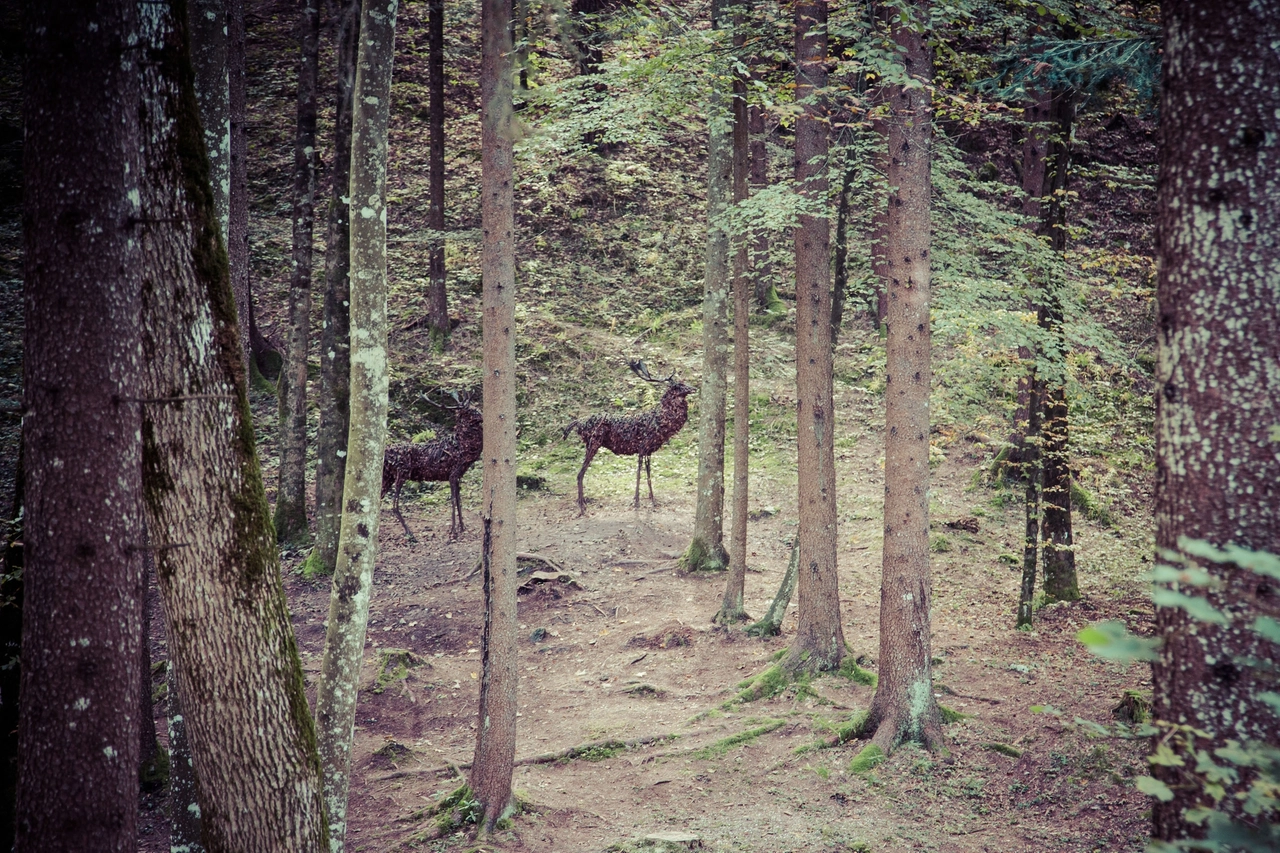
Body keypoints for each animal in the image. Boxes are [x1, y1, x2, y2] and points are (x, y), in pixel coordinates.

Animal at [381, 394, 481, 537]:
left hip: (387, 477)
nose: (482, 417)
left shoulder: (458, 476)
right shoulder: (452, 474)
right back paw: (410, 533)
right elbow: (453, 500)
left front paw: (462, 528)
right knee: (394, 505)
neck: (464, 448)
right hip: (401, 473)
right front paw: (453, 530)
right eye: (472, 410)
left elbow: (459, 500)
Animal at [565, 358, 696, 512]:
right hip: (594, 443)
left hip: (589, 445)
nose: (694, 388)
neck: (662, 424)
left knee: (580, 473)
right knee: (580, 474)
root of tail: (577, 422)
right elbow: (639, 473)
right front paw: (637, 501)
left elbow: (648, 473)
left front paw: (653, 500)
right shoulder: (642, 446)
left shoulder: (649, 450)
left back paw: (582, 502)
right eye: (679, 385)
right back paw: (581, 506)